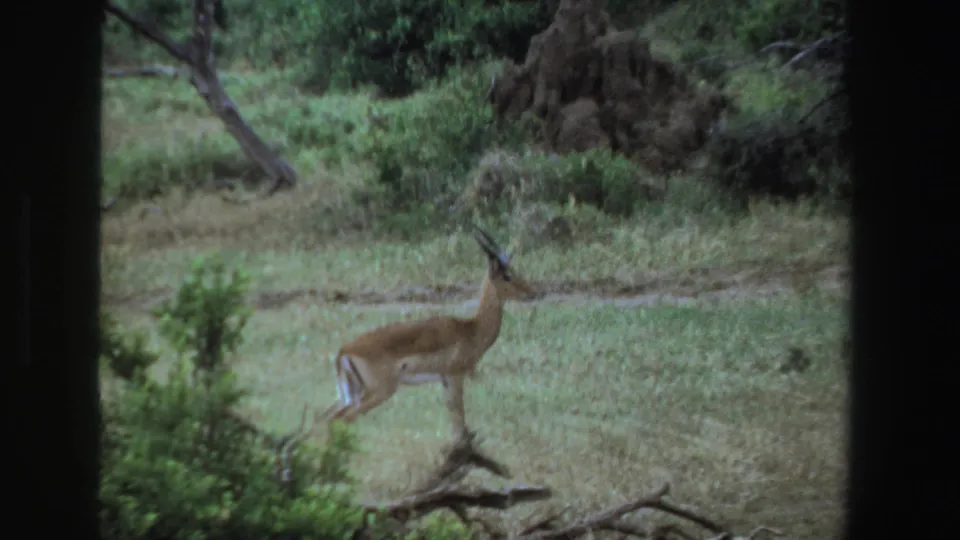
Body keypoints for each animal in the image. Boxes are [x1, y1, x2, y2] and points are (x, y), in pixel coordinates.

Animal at [320, 226, 536, 442]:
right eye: (507, 275)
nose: (531, 292)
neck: (471, 329)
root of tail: (344, 352)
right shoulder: (455, 375)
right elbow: (460, 418)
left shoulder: (445, 380)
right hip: (378, 392)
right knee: (342, 418)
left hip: (349, 394)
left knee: (326, 417)